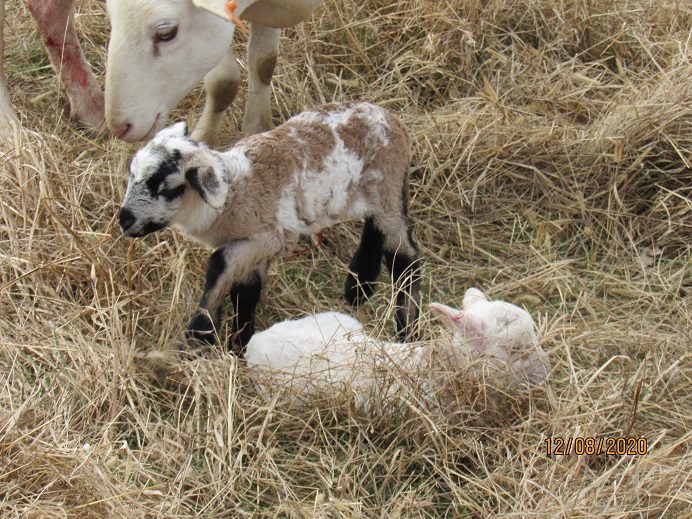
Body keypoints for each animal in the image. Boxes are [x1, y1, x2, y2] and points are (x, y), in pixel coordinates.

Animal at [119, 101, 422, 354]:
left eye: (167, 188)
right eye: (132, 175)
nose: (124, 220)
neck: (235, 191)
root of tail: (393, 119)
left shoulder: (272, 237)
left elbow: (218, 266)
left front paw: (198, 337)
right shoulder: (253, 247)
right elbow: (245, 293)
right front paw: (238, 346)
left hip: (387, 187)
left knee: (404, 256)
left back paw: (407, 329)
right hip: (378, 195)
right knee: (375, 232)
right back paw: (358, 288)